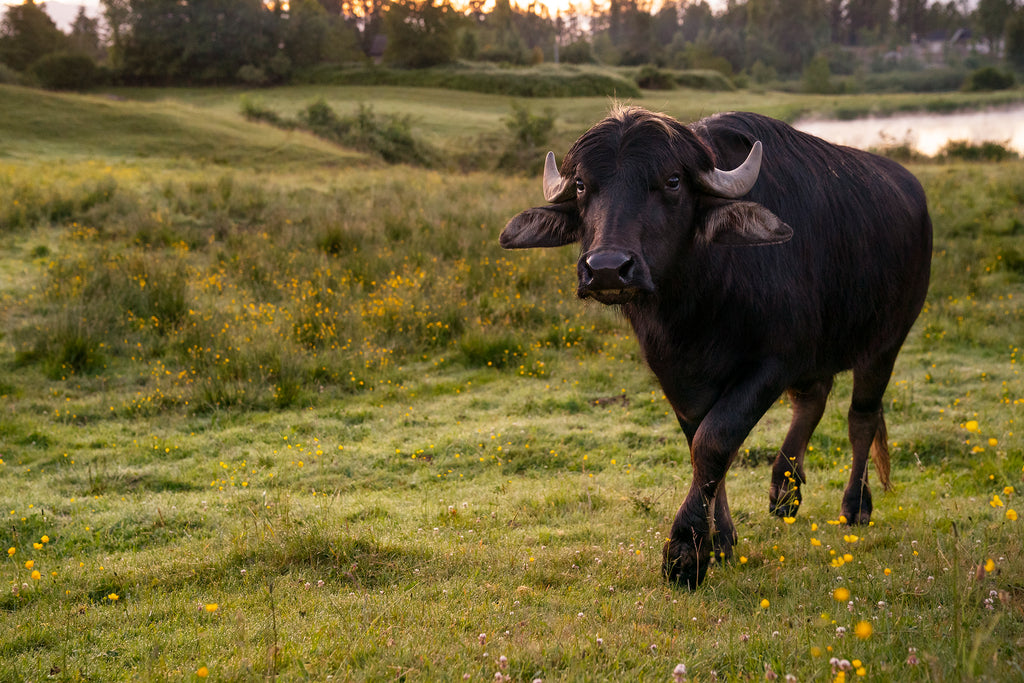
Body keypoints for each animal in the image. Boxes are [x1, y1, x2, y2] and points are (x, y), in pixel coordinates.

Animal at [499, 107, 933, 589]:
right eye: (580, 185)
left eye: (672, 181)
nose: (608, 269)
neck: (697, 303)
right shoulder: (675, 373)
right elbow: (701, 445)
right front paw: (721, 539)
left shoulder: (773, 363)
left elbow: (715, 441)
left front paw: (685, 553)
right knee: (813, 402)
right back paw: (785, 491)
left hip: (887, 341)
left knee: (862, 419)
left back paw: (855, 505)